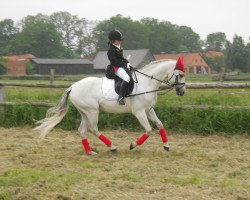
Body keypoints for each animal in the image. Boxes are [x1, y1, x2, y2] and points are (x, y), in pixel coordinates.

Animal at [34, 57, 186, 155]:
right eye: (180, 75)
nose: (182, 92)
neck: (146, 82)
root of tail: (73, 86)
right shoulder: (139, 112)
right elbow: (148, 130)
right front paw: (132, 145)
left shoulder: (149, 110)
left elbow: (160, 125)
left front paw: (166, 145)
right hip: (92, 111)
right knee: (93, 129)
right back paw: (112, 147)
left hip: (85, 112)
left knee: (82, 130)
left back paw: (90, 151)